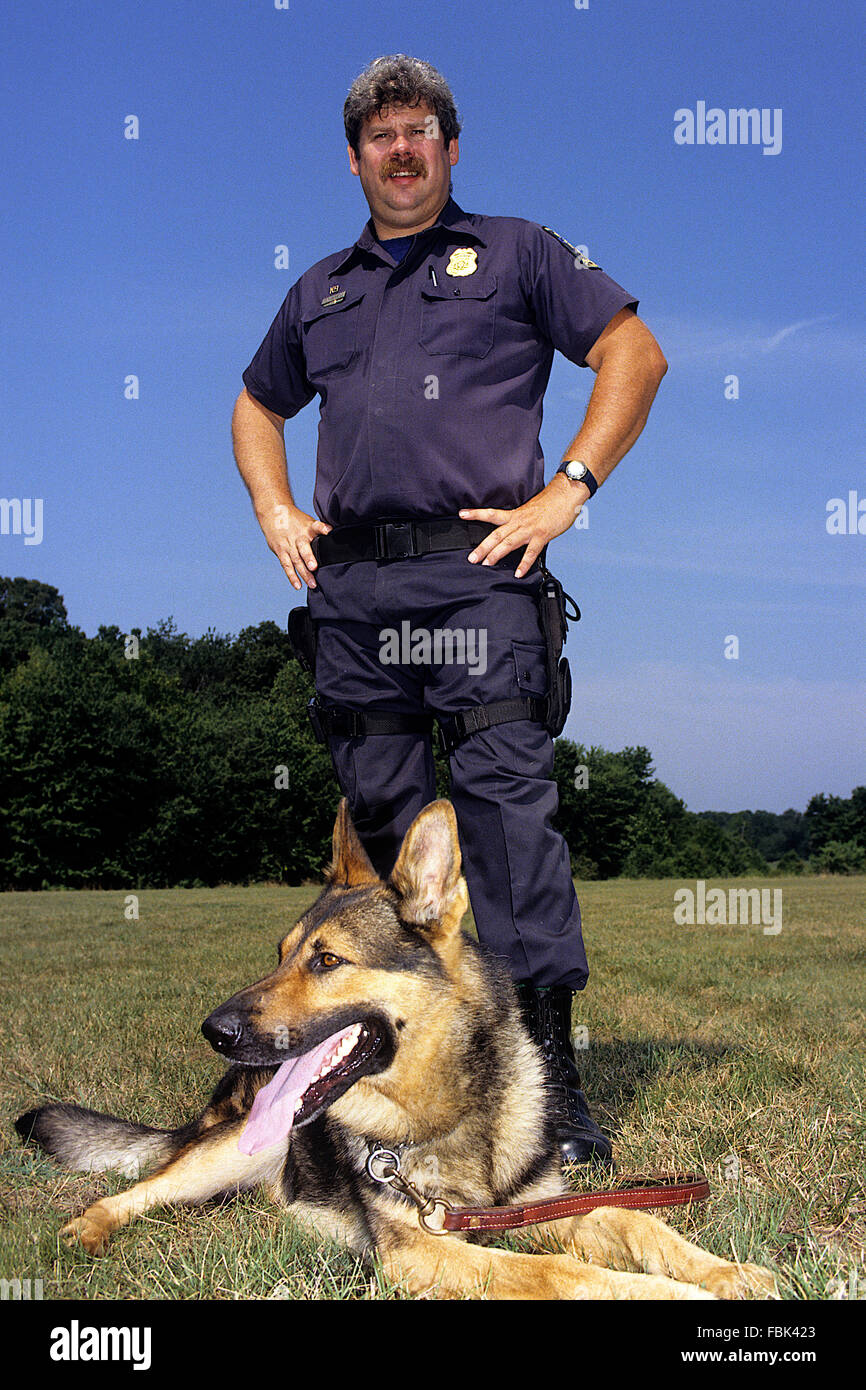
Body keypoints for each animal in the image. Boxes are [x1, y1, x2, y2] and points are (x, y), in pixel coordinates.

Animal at [16, 800, 778, 1295]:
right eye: (281, 955)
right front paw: (674, 1294)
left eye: (326, 961)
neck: (453, 1109)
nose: (214, 1032)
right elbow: (564, 1273)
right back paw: (86, 1232)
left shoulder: (538, 1206)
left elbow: (641, 1224)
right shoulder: (425, 1250)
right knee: (135, 1192)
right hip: (224, 1152)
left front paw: (727, 1273)